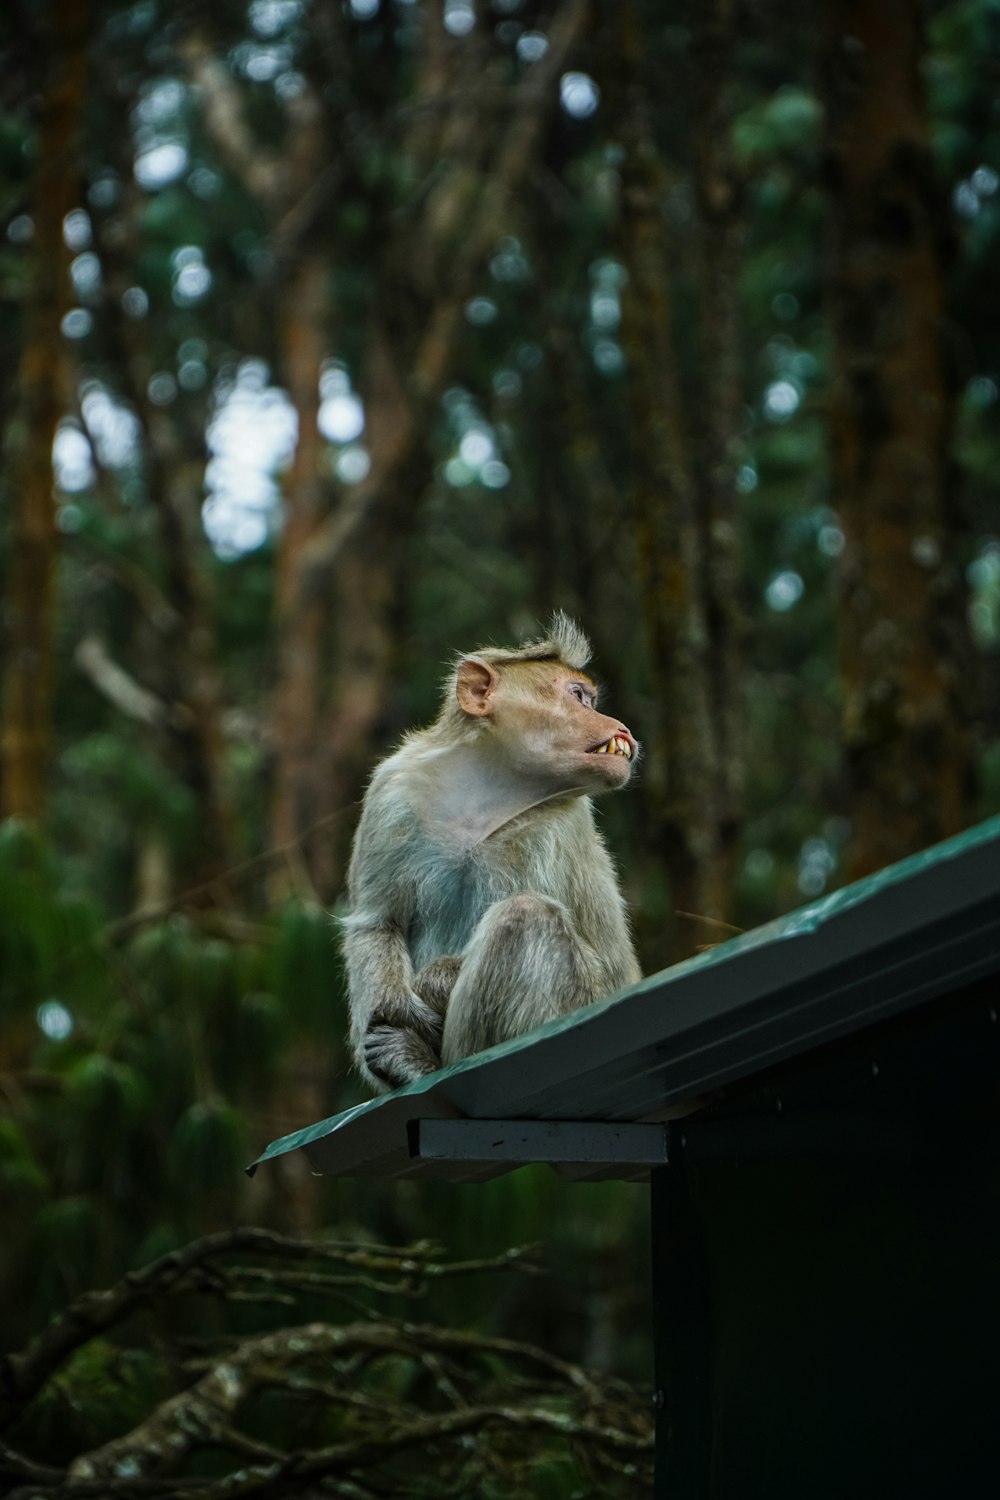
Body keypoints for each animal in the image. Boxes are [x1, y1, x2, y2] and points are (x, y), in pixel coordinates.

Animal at [344, 615, 641, 1098]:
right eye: (579, 697)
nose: (622, 728)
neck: (487, 790)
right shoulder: (392, 788)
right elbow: (377, 923)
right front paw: (404, 1012)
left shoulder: (562, 826)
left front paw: (434, 987)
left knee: (525, 917)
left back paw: (419, 1064)